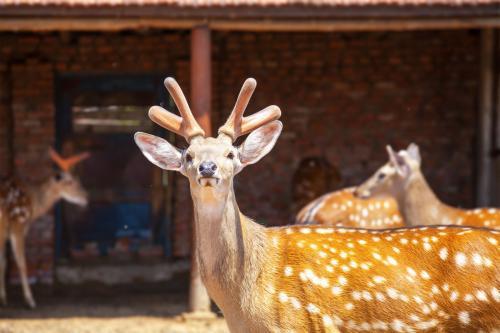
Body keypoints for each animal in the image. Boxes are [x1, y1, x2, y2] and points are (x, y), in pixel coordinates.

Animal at [0, 149, 89, 308]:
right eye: (70, 182)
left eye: (79, 180)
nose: (86, 197)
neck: (34, 204)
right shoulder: (18, 223)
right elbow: (20, 262)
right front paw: (29, 300)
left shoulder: (6, 230)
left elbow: (3, 262)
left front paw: (3, 298)